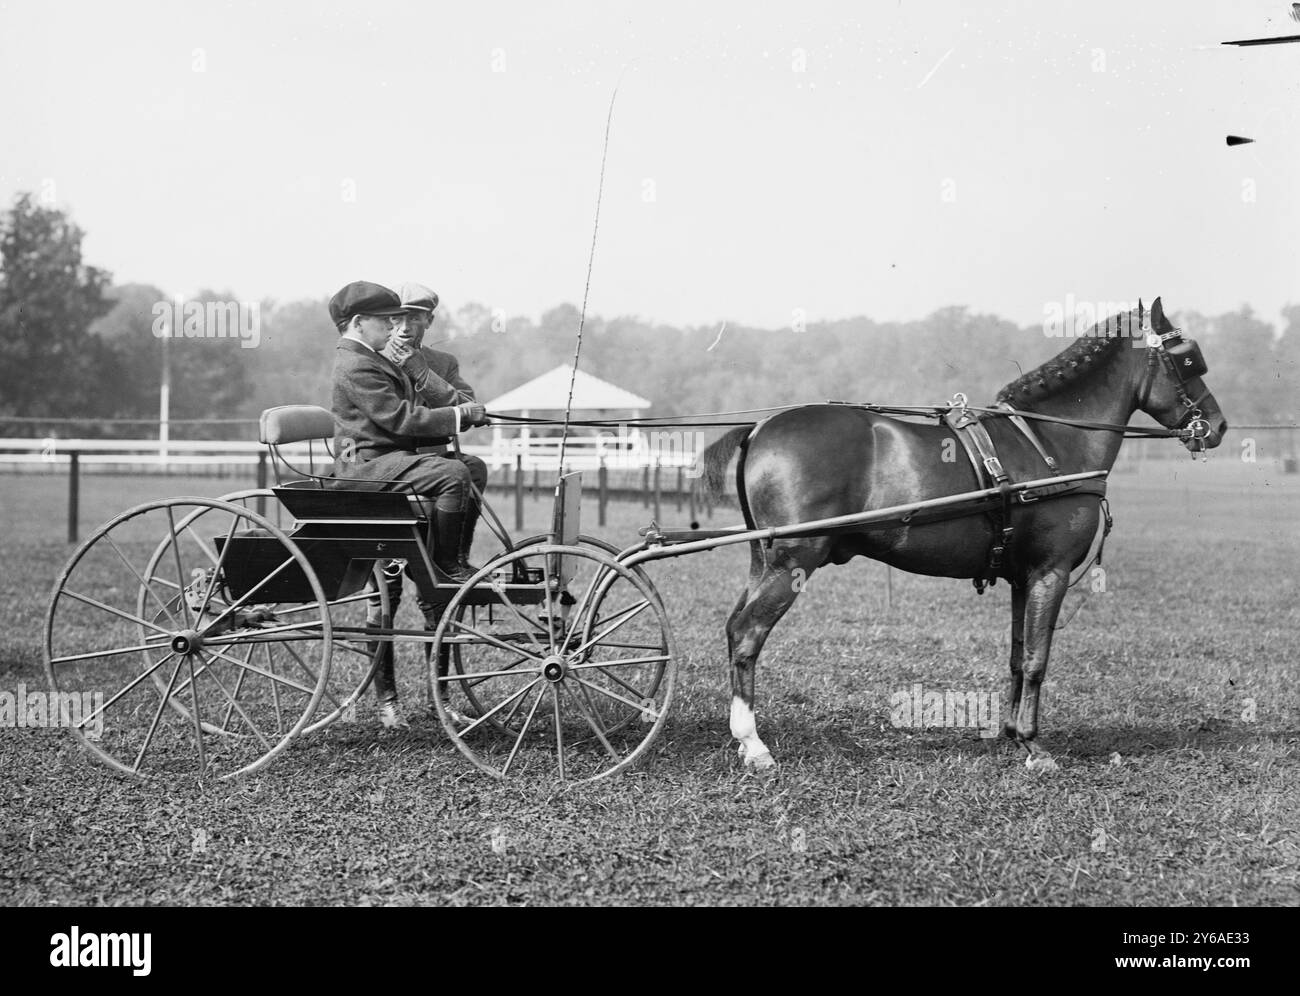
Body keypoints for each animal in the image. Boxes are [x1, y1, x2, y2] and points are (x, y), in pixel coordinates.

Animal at [707, 296, 1222, 769]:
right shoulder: (1050, 572)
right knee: (749, 634)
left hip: (765, 561)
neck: (1050, 443)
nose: (1216, 425)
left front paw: (1013, 733)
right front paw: (1034, 745)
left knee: (735, 629)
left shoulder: (1023, 577)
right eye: (1187, 359)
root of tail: (759, 429)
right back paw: (754, 744)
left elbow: (1018, 655)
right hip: (794, 562)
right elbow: (1037, 659)